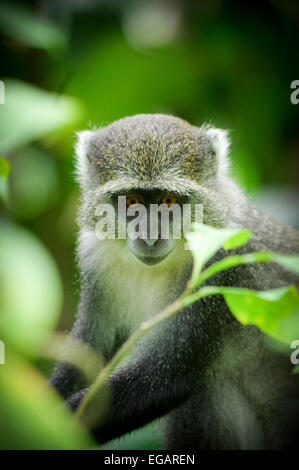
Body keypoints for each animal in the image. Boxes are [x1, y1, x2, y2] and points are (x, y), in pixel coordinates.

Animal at [50, 113, 299, 448]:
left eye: (168, 201)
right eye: (132, 201)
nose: (150, 235)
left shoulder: (220, 262)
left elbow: (169, 377)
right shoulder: (94, 256)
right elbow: (90, 353)